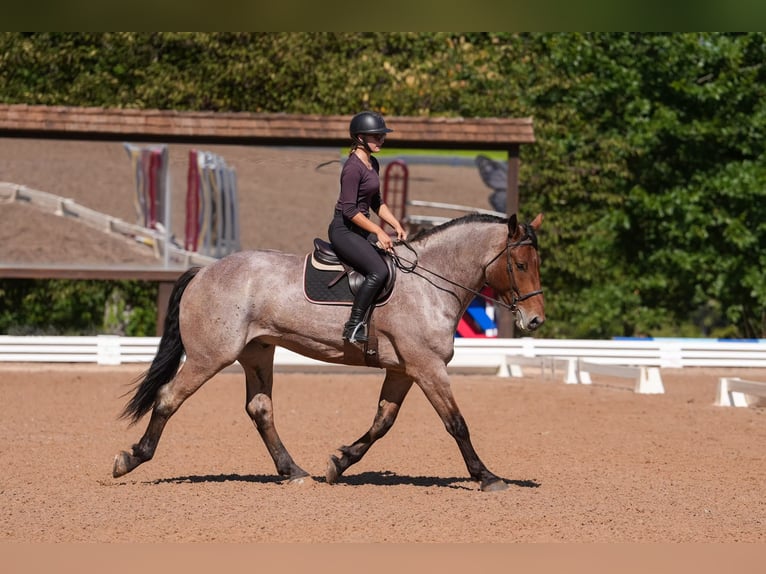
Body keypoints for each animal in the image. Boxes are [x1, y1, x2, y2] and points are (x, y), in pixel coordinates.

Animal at [113, 212, 545, 492]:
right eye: (521, 264)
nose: (536, 320)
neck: (429, 283)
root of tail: (203, 272)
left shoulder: (404, 369)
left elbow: (383, 422)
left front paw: (339, 463)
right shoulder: (427, 366)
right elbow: (456, 423)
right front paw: (487, 477)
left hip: (257, 352)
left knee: (260, 410)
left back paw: (292, 471)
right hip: (210, 356)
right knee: (168, 398)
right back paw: (131, 459)